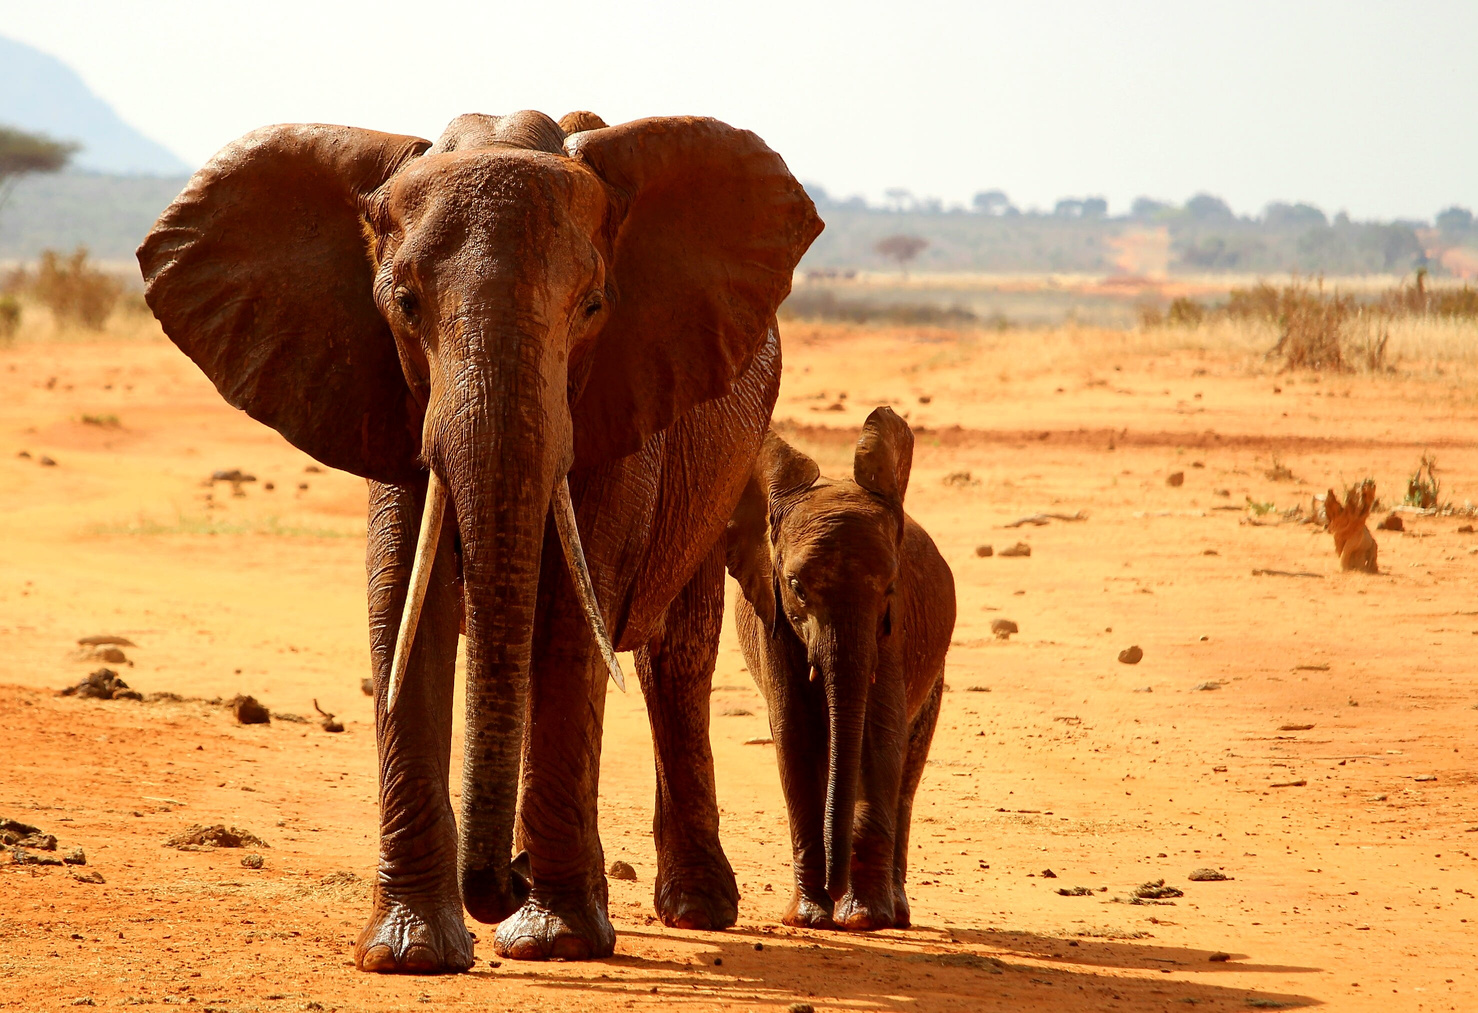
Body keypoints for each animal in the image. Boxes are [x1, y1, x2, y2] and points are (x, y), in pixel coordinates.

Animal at [137, 110, 821, 970]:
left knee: (675, 661)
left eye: (593, 305)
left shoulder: (616, 403)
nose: (501, 880)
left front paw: (555, 940)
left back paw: (692, 907)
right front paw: (408, 952)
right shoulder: (382, 395)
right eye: (403, 302)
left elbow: (566, 618)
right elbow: (402, 606)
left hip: (719, 462)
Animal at [727, 408, 957, 928]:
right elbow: (792, 734)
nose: (835, 890)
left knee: (908, 769)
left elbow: (880, 734)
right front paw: (808, 918)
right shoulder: (772, 617)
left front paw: (864, 918)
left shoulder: (893, 629)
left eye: (890, 586)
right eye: (796, 586)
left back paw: (895, 912)